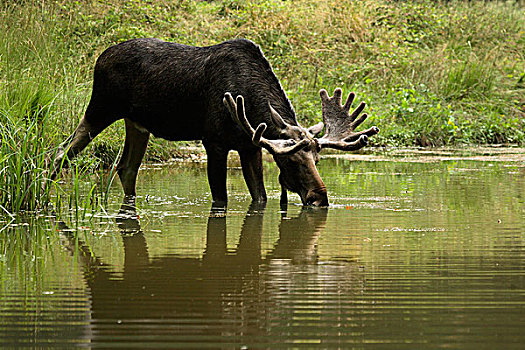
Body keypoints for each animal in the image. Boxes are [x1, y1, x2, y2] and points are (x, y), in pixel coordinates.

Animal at [52, 38, 376, 206]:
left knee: (125, 167)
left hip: (137, 123)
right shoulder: (214, 142)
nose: (320, 197)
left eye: (317, 160)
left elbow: (260, 198)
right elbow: (220, 199)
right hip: (100, 107)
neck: (249, 105)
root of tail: (99, 58)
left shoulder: (250, 145)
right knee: (61, 151)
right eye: (291, 161)